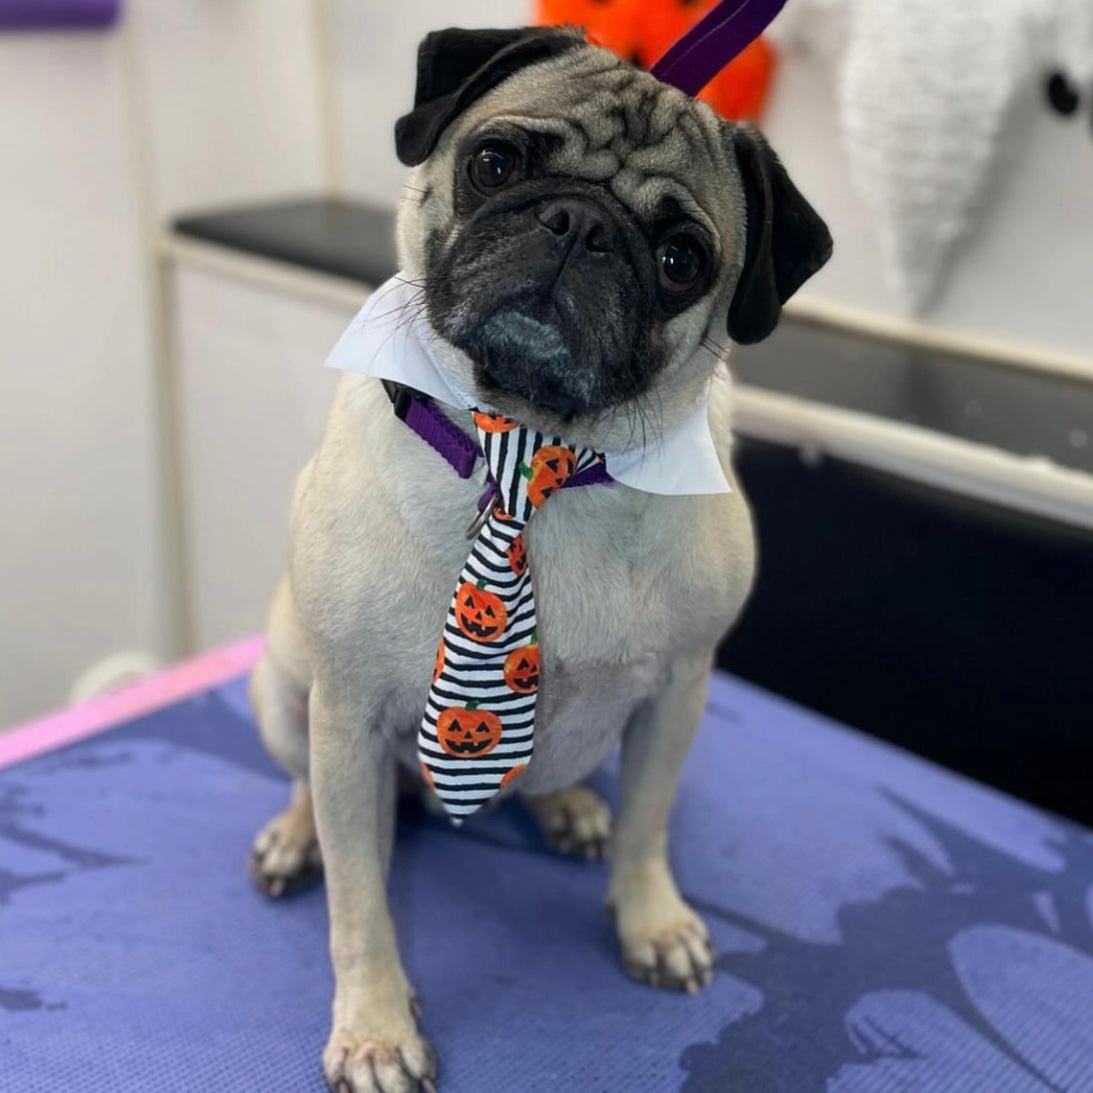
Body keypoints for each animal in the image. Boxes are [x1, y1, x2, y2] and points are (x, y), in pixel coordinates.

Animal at [245, 25, 826, 1093]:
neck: (533, 447)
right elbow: (361, 903)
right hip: (284, 694)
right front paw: (376, 1028)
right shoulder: (347, 716)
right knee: (313, 792)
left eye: (681, 259)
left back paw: (565, 809)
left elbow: (647, 825)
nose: (578, 224)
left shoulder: (678, 692)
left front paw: (651, 922)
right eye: (494, 164)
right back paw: (296, 836)